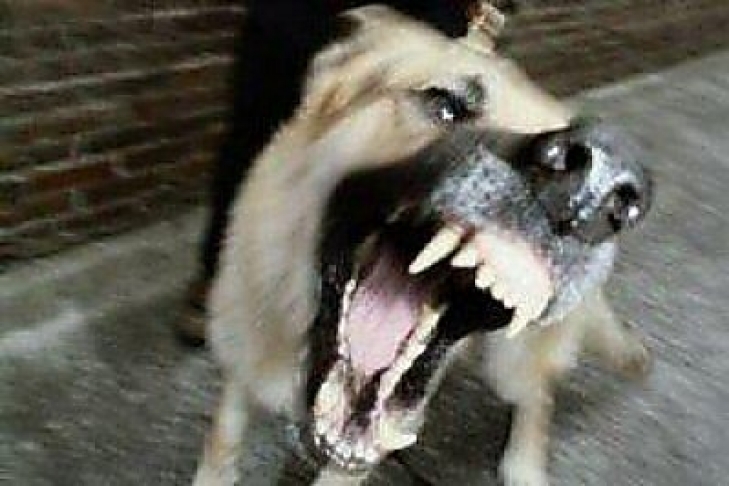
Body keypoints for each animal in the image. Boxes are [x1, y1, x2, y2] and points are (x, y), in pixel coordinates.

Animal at [192, 4, 653, 485]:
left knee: (537, 395)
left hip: (512, 359)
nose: (604, 187)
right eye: (445, 105)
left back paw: (524, 465)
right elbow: (222, 440)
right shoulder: (241, 365)